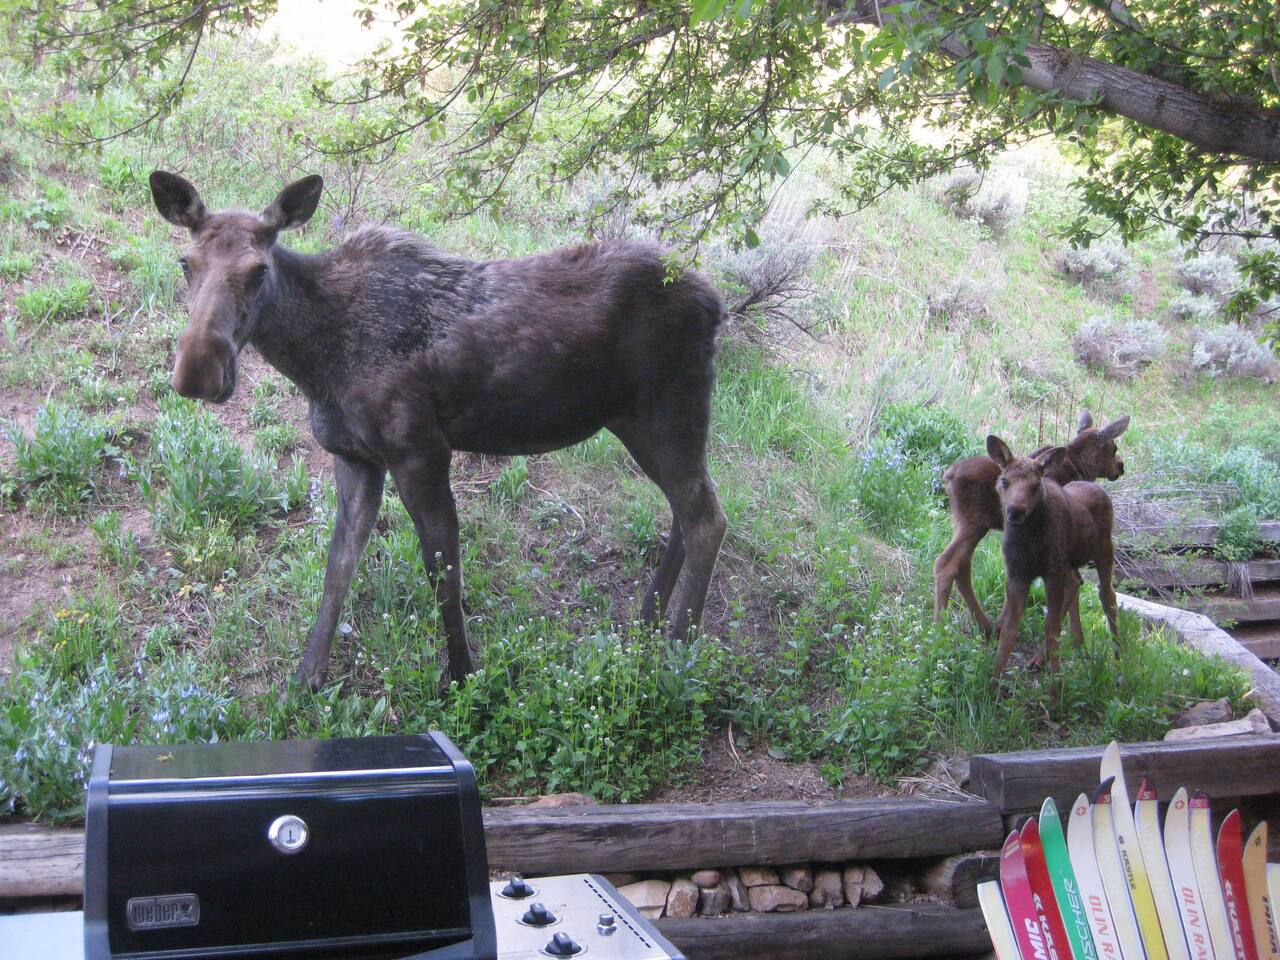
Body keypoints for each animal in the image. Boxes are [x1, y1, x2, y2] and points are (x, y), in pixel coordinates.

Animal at [148, 171, 728, 690]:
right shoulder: (354, 457)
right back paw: (647, 619)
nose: (197, 371)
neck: (314, 361)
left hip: (668, 412)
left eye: (257, 270)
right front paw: (307, 677)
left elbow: (442, 569)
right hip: (639, 423)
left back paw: (678, 653)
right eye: (186, 264)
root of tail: (717, 306)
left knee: (707, 518)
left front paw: (462, 674)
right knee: (685, 510)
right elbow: (339, 564)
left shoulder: (420, 450)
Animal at [933, 411, 1129, 636]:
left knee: (962, 566)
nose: (1120, 467)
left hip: (964, 522)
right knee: (947, 563)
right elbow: (1073, 585)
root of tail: (949, 475)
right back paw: (940, 627)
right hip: (973, 523)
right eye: (1114, 448)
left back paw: (985, 626)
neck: (1079, 468)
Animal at [985, 436, 1121, 675]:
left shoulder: (1053, 572)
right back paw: (1072, 645)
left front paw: (1056, 678)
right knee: (1077, 582)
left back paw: (1118, 662)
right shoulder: (1017, 574)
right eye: (1004, 481)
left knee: (1108, 597)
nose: (1015, 511)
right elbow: (1010, 629)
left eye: (1035, 485)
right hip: (1070, 562)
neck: (1028, 541)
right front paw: (993, 679)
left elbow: (1051, 627)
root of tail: (1097, 485)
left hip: (1104, 551)